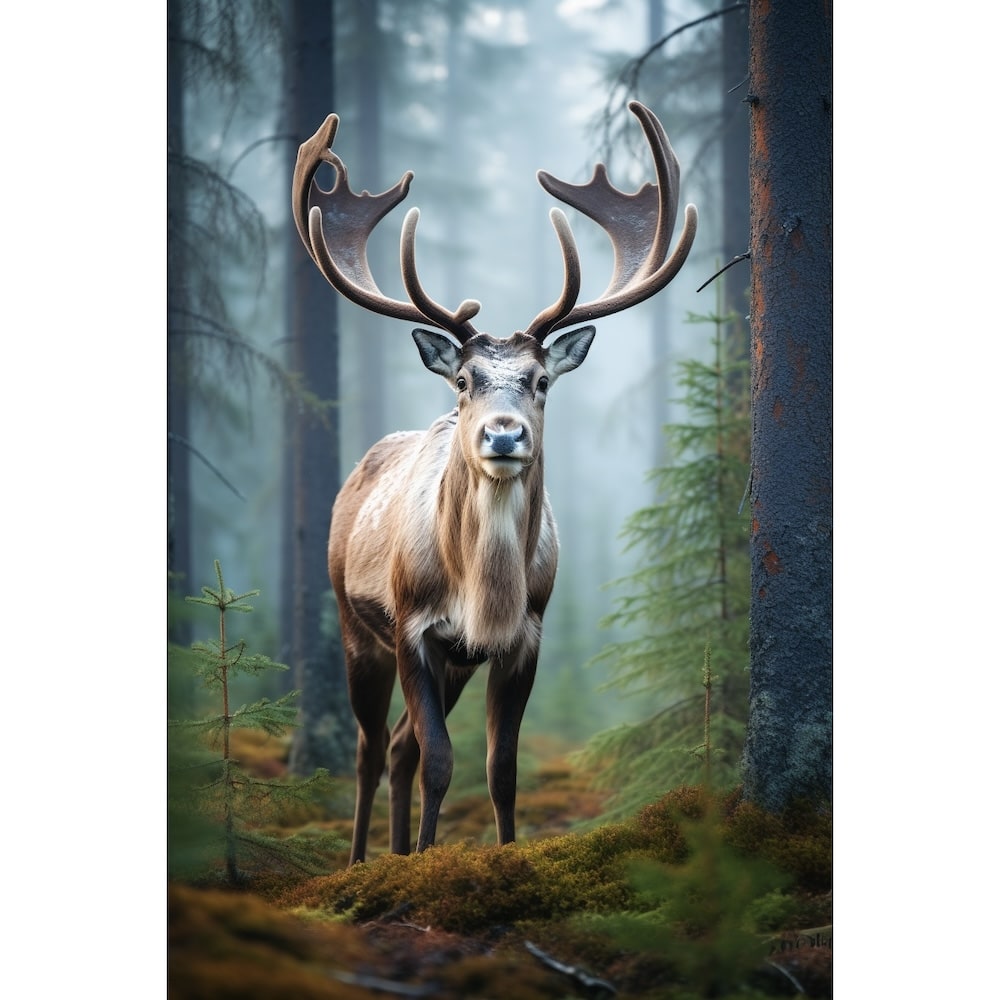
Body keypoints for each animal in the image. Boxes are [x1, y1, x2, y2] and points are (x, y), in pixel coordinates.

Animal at [291, 101, 697, 865]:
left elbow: (498, 767)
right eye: (463, 379)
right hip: (353, 622)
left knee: (398, 747)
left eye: (541, 380)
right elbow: (442, 761)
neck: (483, 588)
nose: (503, 435)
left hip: (454, 662)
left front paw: (495, 857)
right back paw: (360, 861)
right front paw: (422, 862)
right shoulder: (413, 626)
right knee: (369, 747)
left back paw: (395, 853)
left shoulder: (524, 633)